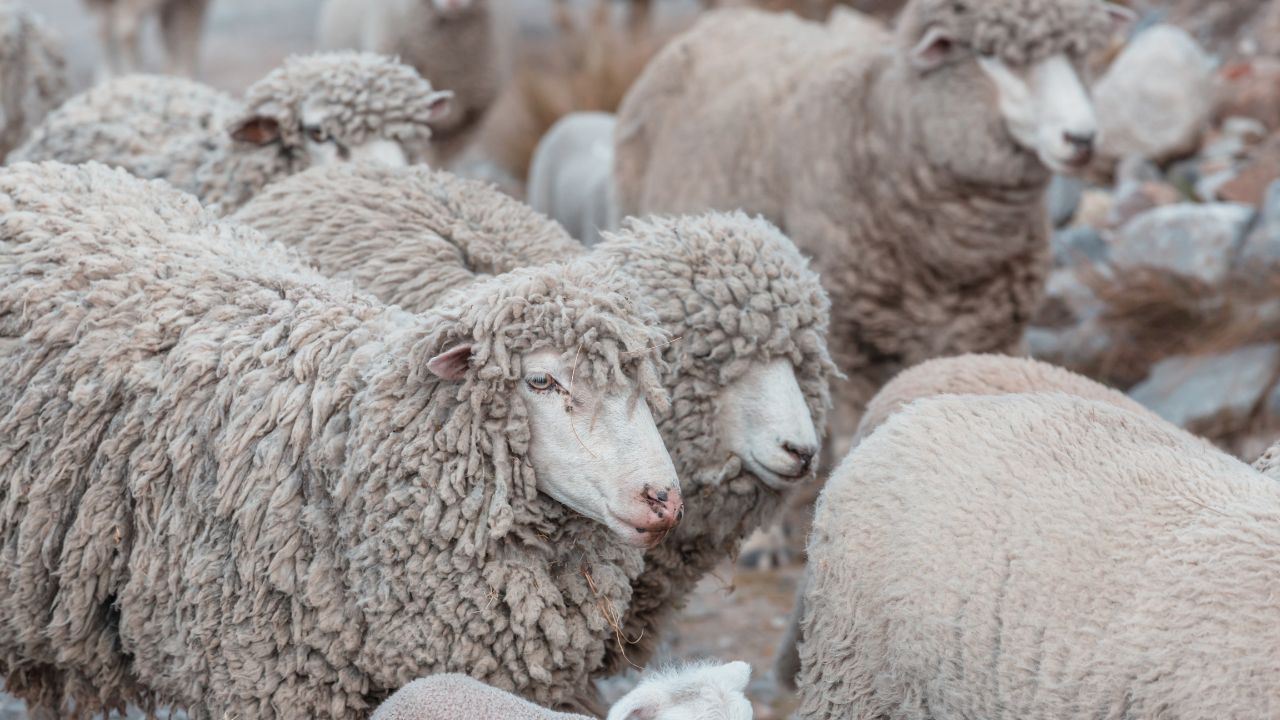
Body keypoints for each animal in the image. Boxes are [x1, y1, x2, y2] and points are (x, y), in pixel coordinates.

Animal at [614, 0, 1133, 565]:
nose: (1082, 139)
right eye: (992, 55)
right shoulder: (854, 345)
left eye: (1078, 52)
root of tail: (726, 18)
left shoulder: (992, 337)